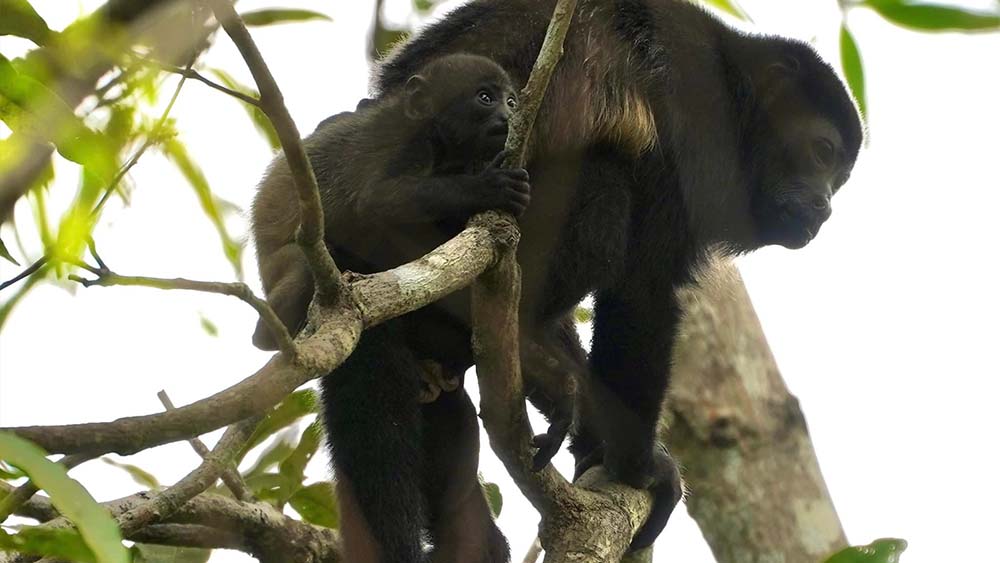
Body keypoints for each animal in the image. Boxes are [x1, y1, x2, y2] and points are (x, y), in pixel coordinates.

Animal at [250, 55, 524, 563]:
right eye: (485, 97)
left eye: (512, 100)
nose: (508, 116)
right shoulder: (408, 145)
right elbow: (376, 202)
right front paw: (488, 186)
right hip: (286, 272)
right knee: (314, 255)